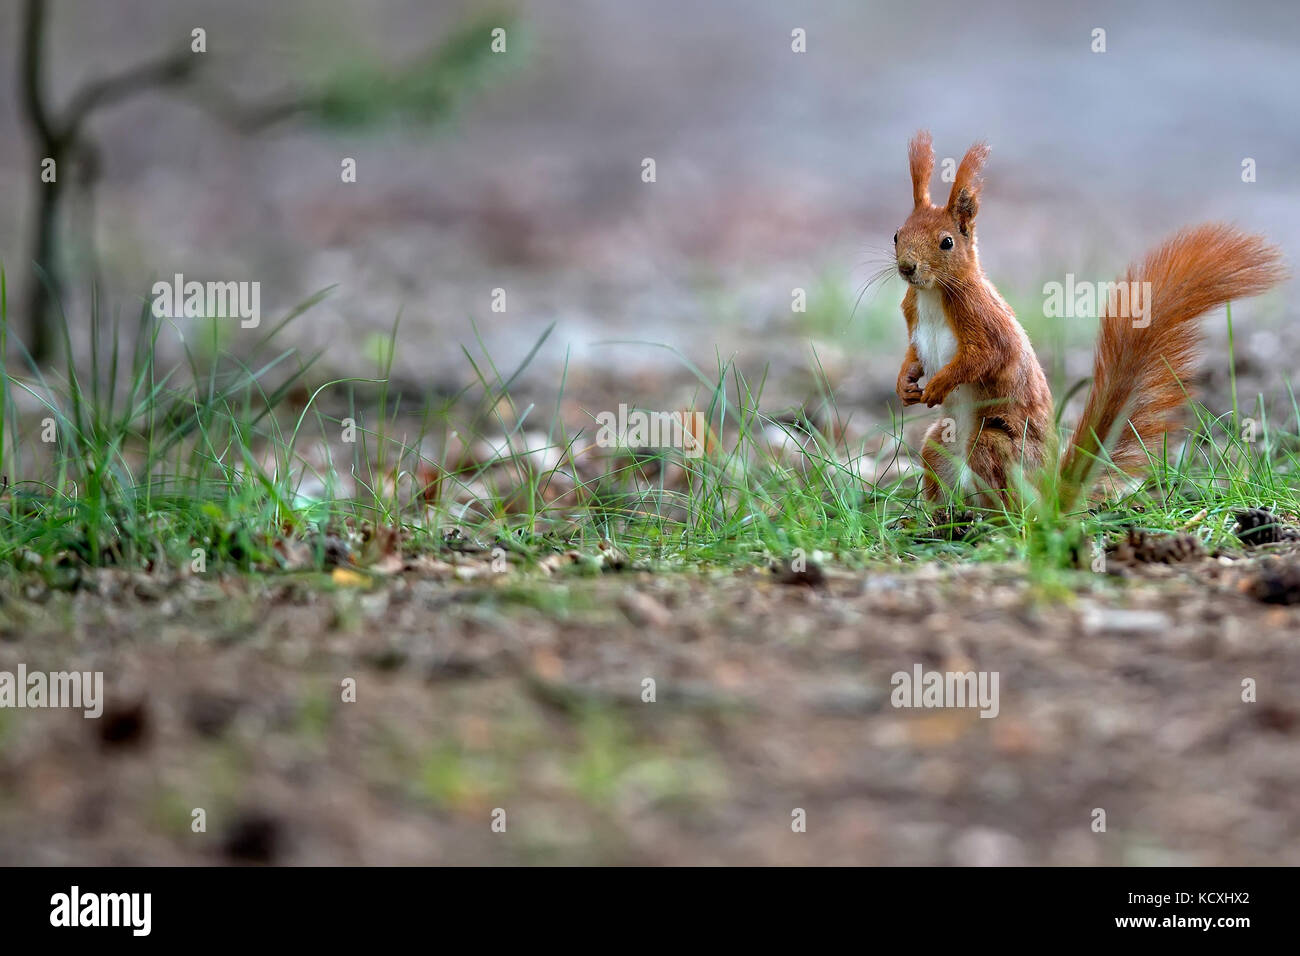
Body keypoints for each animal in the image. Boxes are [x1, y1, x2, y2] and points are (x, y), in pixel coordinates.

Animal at [889, 132, 1284, 515]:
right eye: (896, 234)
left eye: (947, 242)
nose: (907, 267)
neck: (933, 294)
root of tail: (1050, 493)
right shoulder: (913, 315)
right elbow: (914, 354)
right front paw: (905, 383)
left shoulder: (984, 320)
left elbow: (985, 356)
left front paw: (940, 383)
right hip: (939, 444)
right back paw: (941, 518)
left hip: (994, 443)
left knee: (1011, 503)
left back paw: (998, 520)